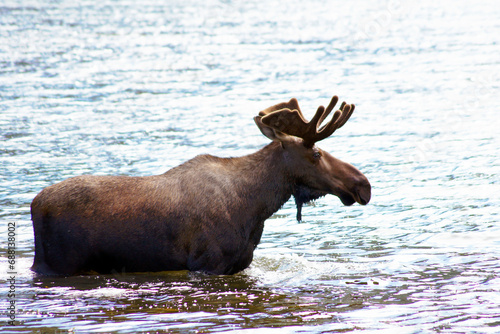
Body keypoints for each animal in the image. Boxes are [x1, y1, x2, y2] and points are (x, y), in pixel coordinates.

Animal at [29, 94, 370, 276]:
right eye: (316, 153)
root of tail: (34, 205)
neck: (256, 207)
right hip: (57, 263)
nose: (362, 184)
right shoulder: (208, 262)